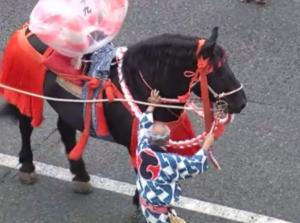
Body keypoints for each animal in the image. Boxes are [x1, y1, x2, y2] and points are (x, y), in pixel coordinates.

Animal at [0, 27, 246, 203]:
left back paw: (80, 175)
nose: (241, 102)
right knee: (25, 127)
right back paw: (27, 167)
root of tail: (29, 29)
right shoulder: (137, 141)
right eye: (216, 70)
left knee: (65, 129)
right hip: (27, 94)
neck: (139, 85)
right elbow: (144, 172)